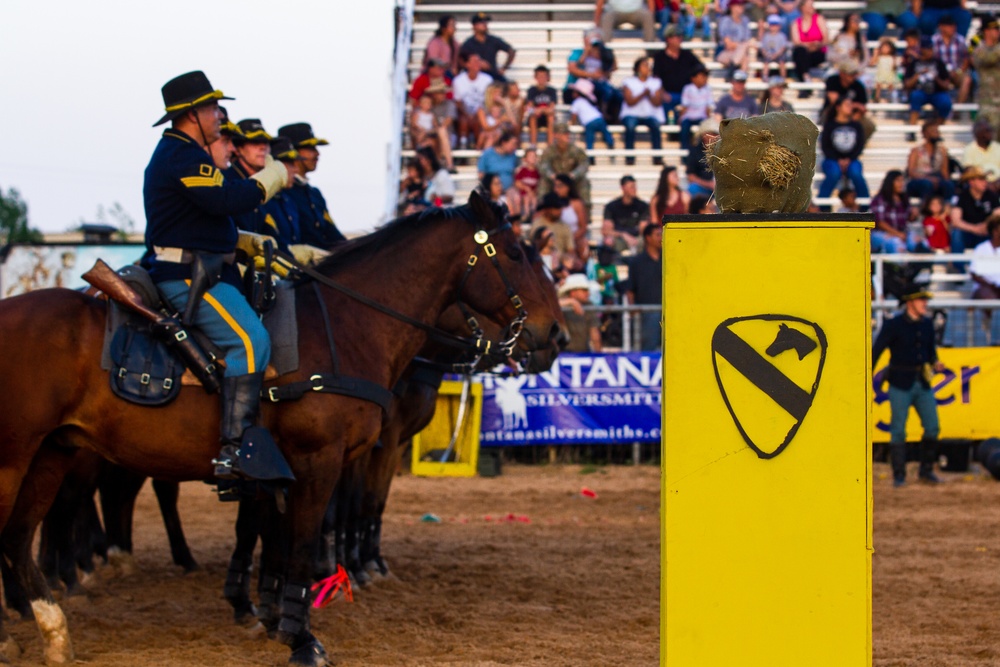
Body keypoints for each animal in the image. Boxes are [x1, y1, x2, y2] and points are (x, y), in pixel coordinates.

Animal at [0, 190, 564, 664]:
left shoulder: (284, 470)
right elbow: (301, 539)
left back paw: (52, 628)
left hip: (52, 454)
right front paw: (300, 636)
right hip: (19, 459)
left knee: (20, 536)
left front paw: (271, 615)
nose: (556, 334)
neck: (344, 326)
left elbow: (276, 538)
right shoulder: (319, 461)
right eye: (516, 253)